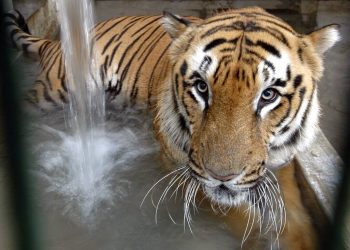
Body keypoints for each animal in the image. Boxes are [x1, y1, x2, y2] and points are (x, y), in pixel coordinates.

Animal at [4, 6, 340, 249]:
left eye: (268, 95)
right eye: (201, 88)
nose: (223, 176)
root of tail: (57, 41)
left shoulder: (281, 164)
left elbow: (294, 214)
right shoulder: (183, 170)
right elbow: (239, 214)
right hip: (52, 93)